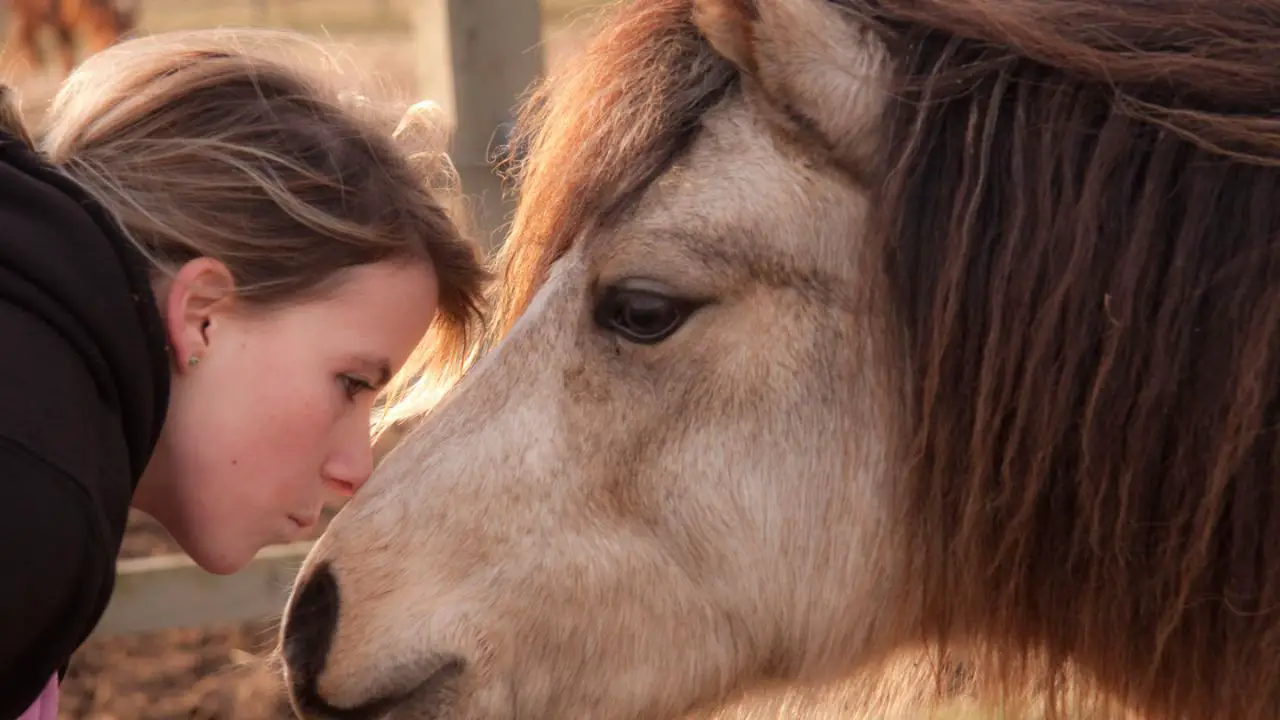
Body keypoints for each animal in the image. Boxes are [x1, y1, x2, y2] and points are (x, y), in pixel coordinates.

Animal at [2, 0, 138, 78]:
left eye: (126, 27)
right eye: (99, 30)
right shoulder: (59, 24)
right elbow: (66, 52)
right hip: (27, 15)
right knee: (25, 36)